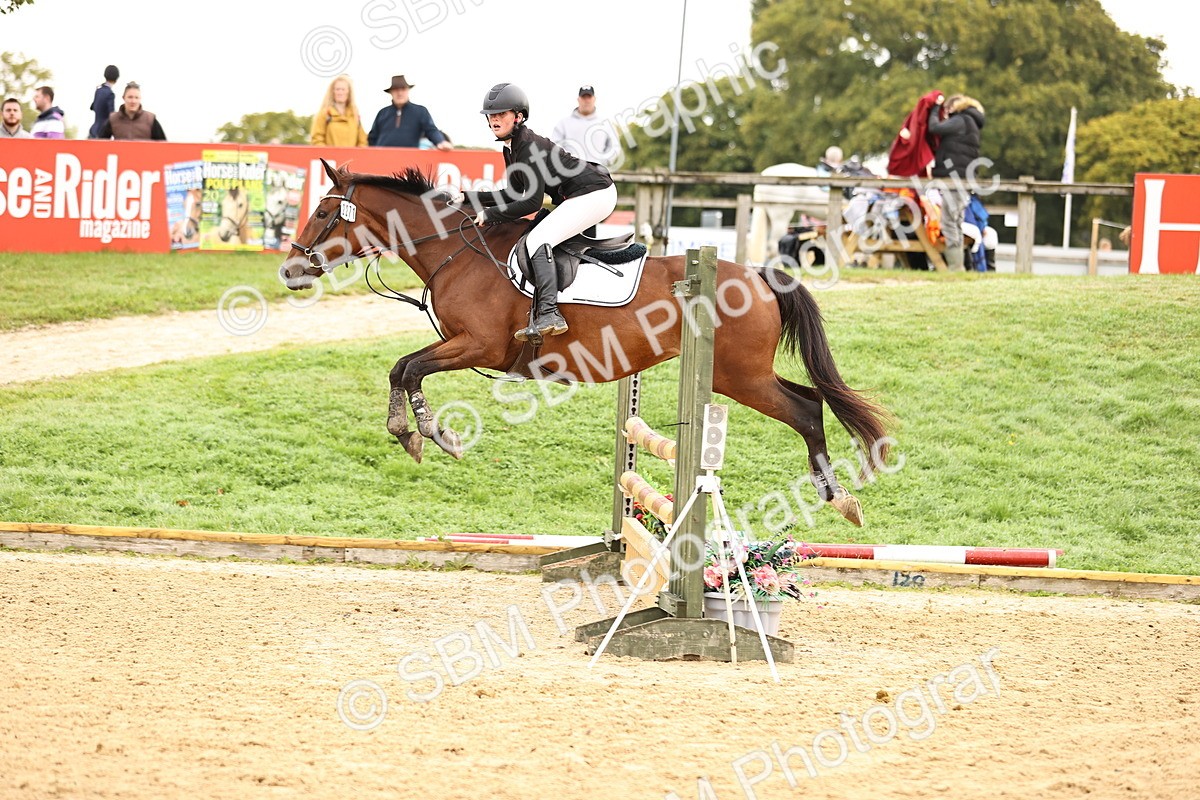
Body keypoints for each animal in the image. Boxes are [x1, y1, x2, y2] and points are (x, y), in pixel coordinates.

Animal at [279, 160, 893, 526]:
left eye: (325, 211)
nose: (289, 271)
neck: (454, 250)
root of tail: (761, 275)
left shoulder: (478, 346)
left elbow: (409, 369)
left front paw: (429, 434)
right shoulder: (462, 346)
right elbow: (401, 368)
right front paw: (415, 433)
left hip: (738, 377)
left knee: (805, 409)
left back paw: (840, 498)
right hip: (739, 375)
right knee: (810, 401)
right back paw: (837, 494)